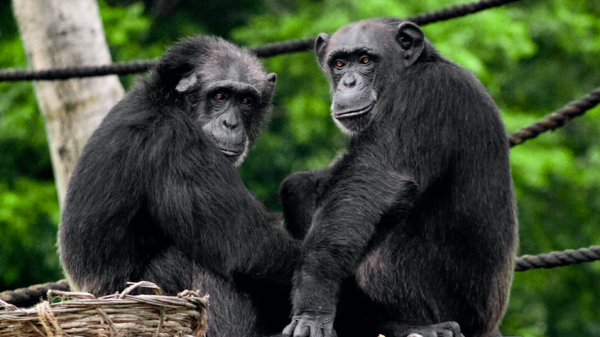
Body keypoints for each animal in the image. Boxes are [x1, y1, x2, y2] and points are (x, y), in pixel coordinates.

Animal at [58, 35, 300, 334]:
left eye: (246, 100)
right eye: (220, 96)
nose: (231, 123)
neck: (170, 102)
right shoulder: (178, 144)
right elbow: (248, 245)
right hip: (143, 294)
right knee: (196, 260)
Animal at [280, 17, 516, 336]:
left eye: (365, 60)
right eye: (339, 63)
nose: (348, 82)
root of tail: (488, 326)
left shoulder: (425, 94)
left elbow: (371, 184)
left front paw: (314, 304)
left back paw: (412, 325)